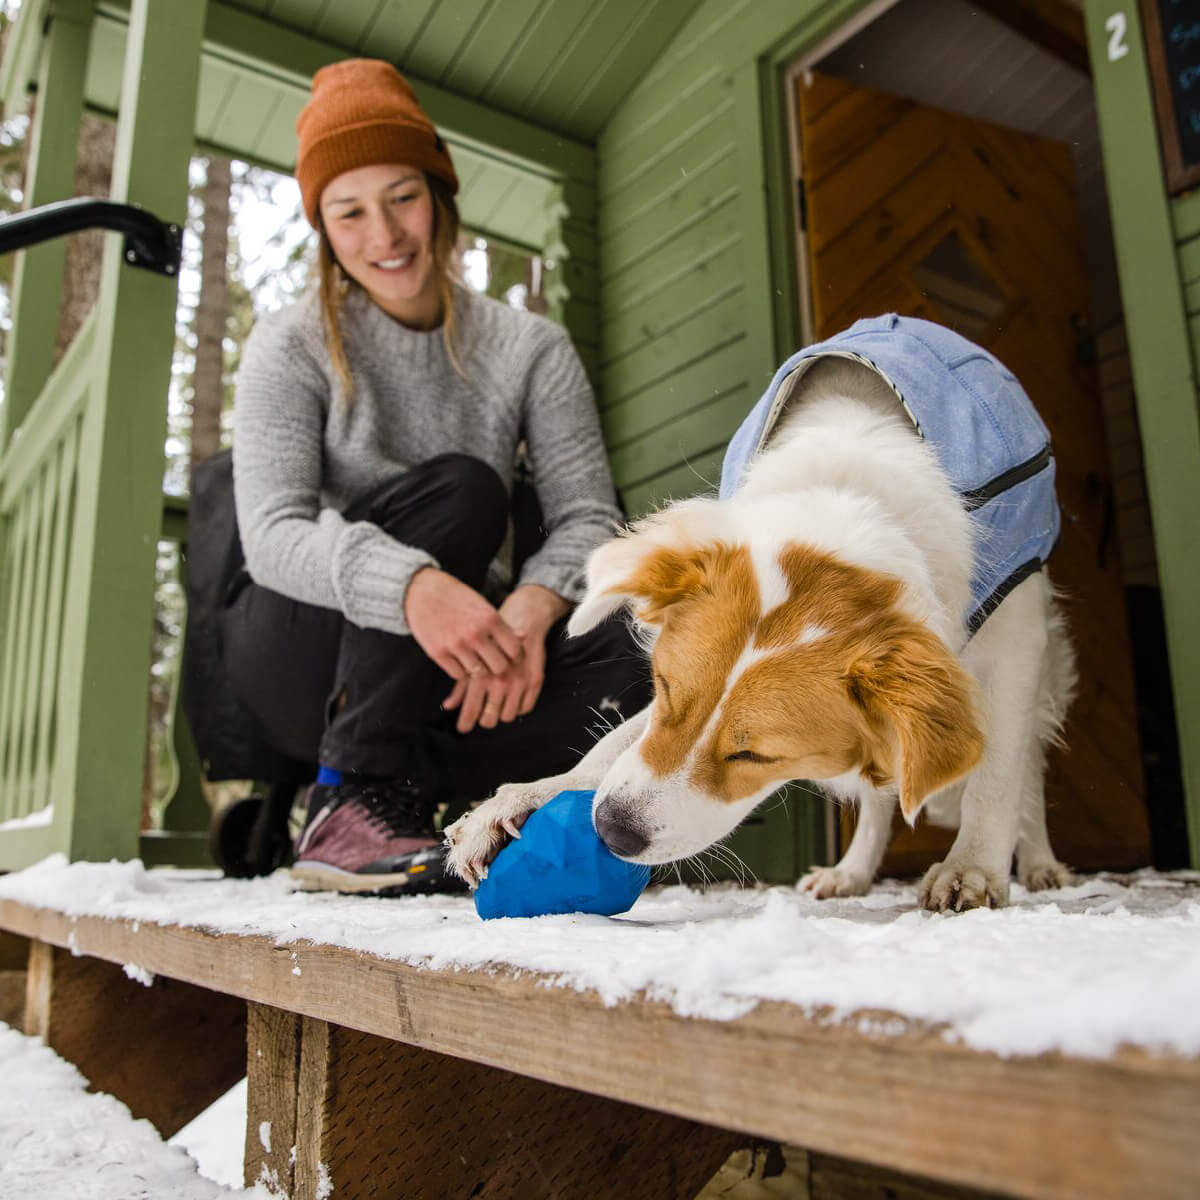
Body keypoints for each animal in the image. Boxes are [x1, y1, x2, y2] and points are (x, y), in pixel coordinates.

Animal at [448, 314, 1080, 912]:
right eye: (666, 690)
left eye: (755, 754)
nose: (610, 830)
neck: (850, 492)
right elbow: (616, 742)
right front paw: (528, 798)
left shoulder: (1015, 635)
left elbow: (999, 773)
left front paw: (972, 866)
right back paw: (852, 871)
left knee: (1027, 766)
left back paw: (1040, 864)